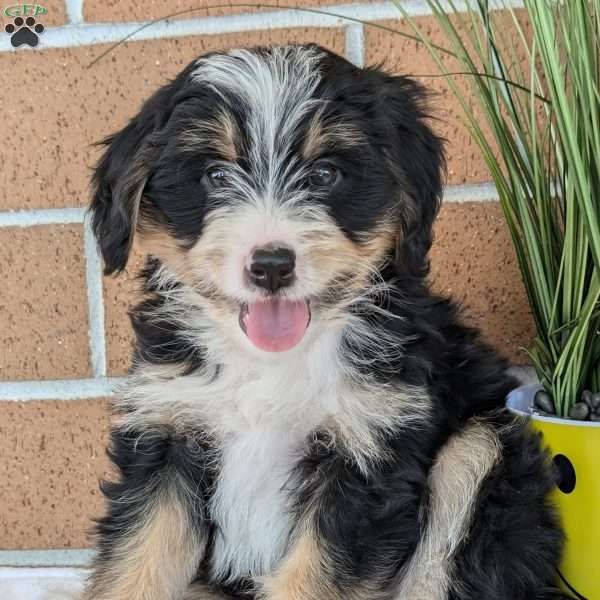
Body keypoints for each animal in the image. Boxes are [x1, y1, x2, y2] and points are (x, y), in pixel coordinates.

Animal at [84, 44, 564, 596]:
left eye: (326, 174)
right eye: (216, 175)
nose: (271, 265)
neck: (270, 363)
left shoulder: (368, 451)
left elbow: (314, 578)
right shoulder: (166, 434)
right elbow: (136, 562)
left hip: (482, 447)